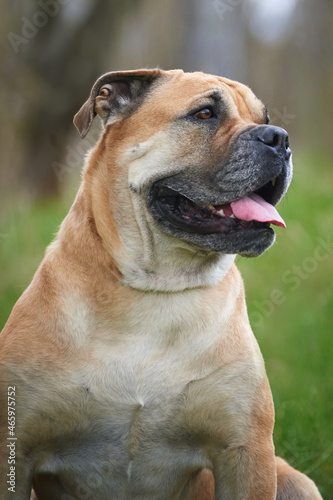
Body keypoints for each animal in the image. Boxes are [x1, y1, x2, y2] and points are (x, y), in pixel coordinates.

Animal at [0, 70, 322, 500]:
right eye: (204, 114)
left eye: (264, 117)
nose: (279, 138)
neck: (158, 288)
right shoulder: (16, 449)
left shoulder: (246, 452)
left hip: (293, 478)